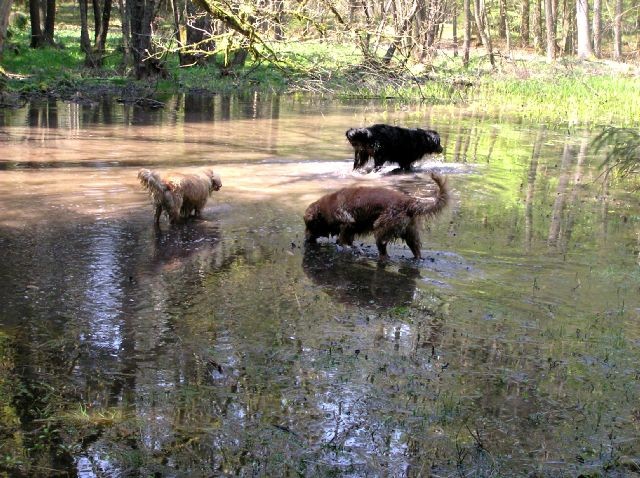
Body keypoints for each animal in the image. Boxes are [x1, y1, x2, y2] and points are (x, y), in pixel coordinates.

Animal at [304, 173, 444, 260]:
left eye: (309, 225)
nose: (306, 239)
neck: (327, 207)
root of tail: (409, 202)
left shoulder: (347, 223)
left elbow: (343, 240)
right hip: (410, 233)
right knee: (416, 251)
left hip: (381, 229)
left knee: (384, 253)